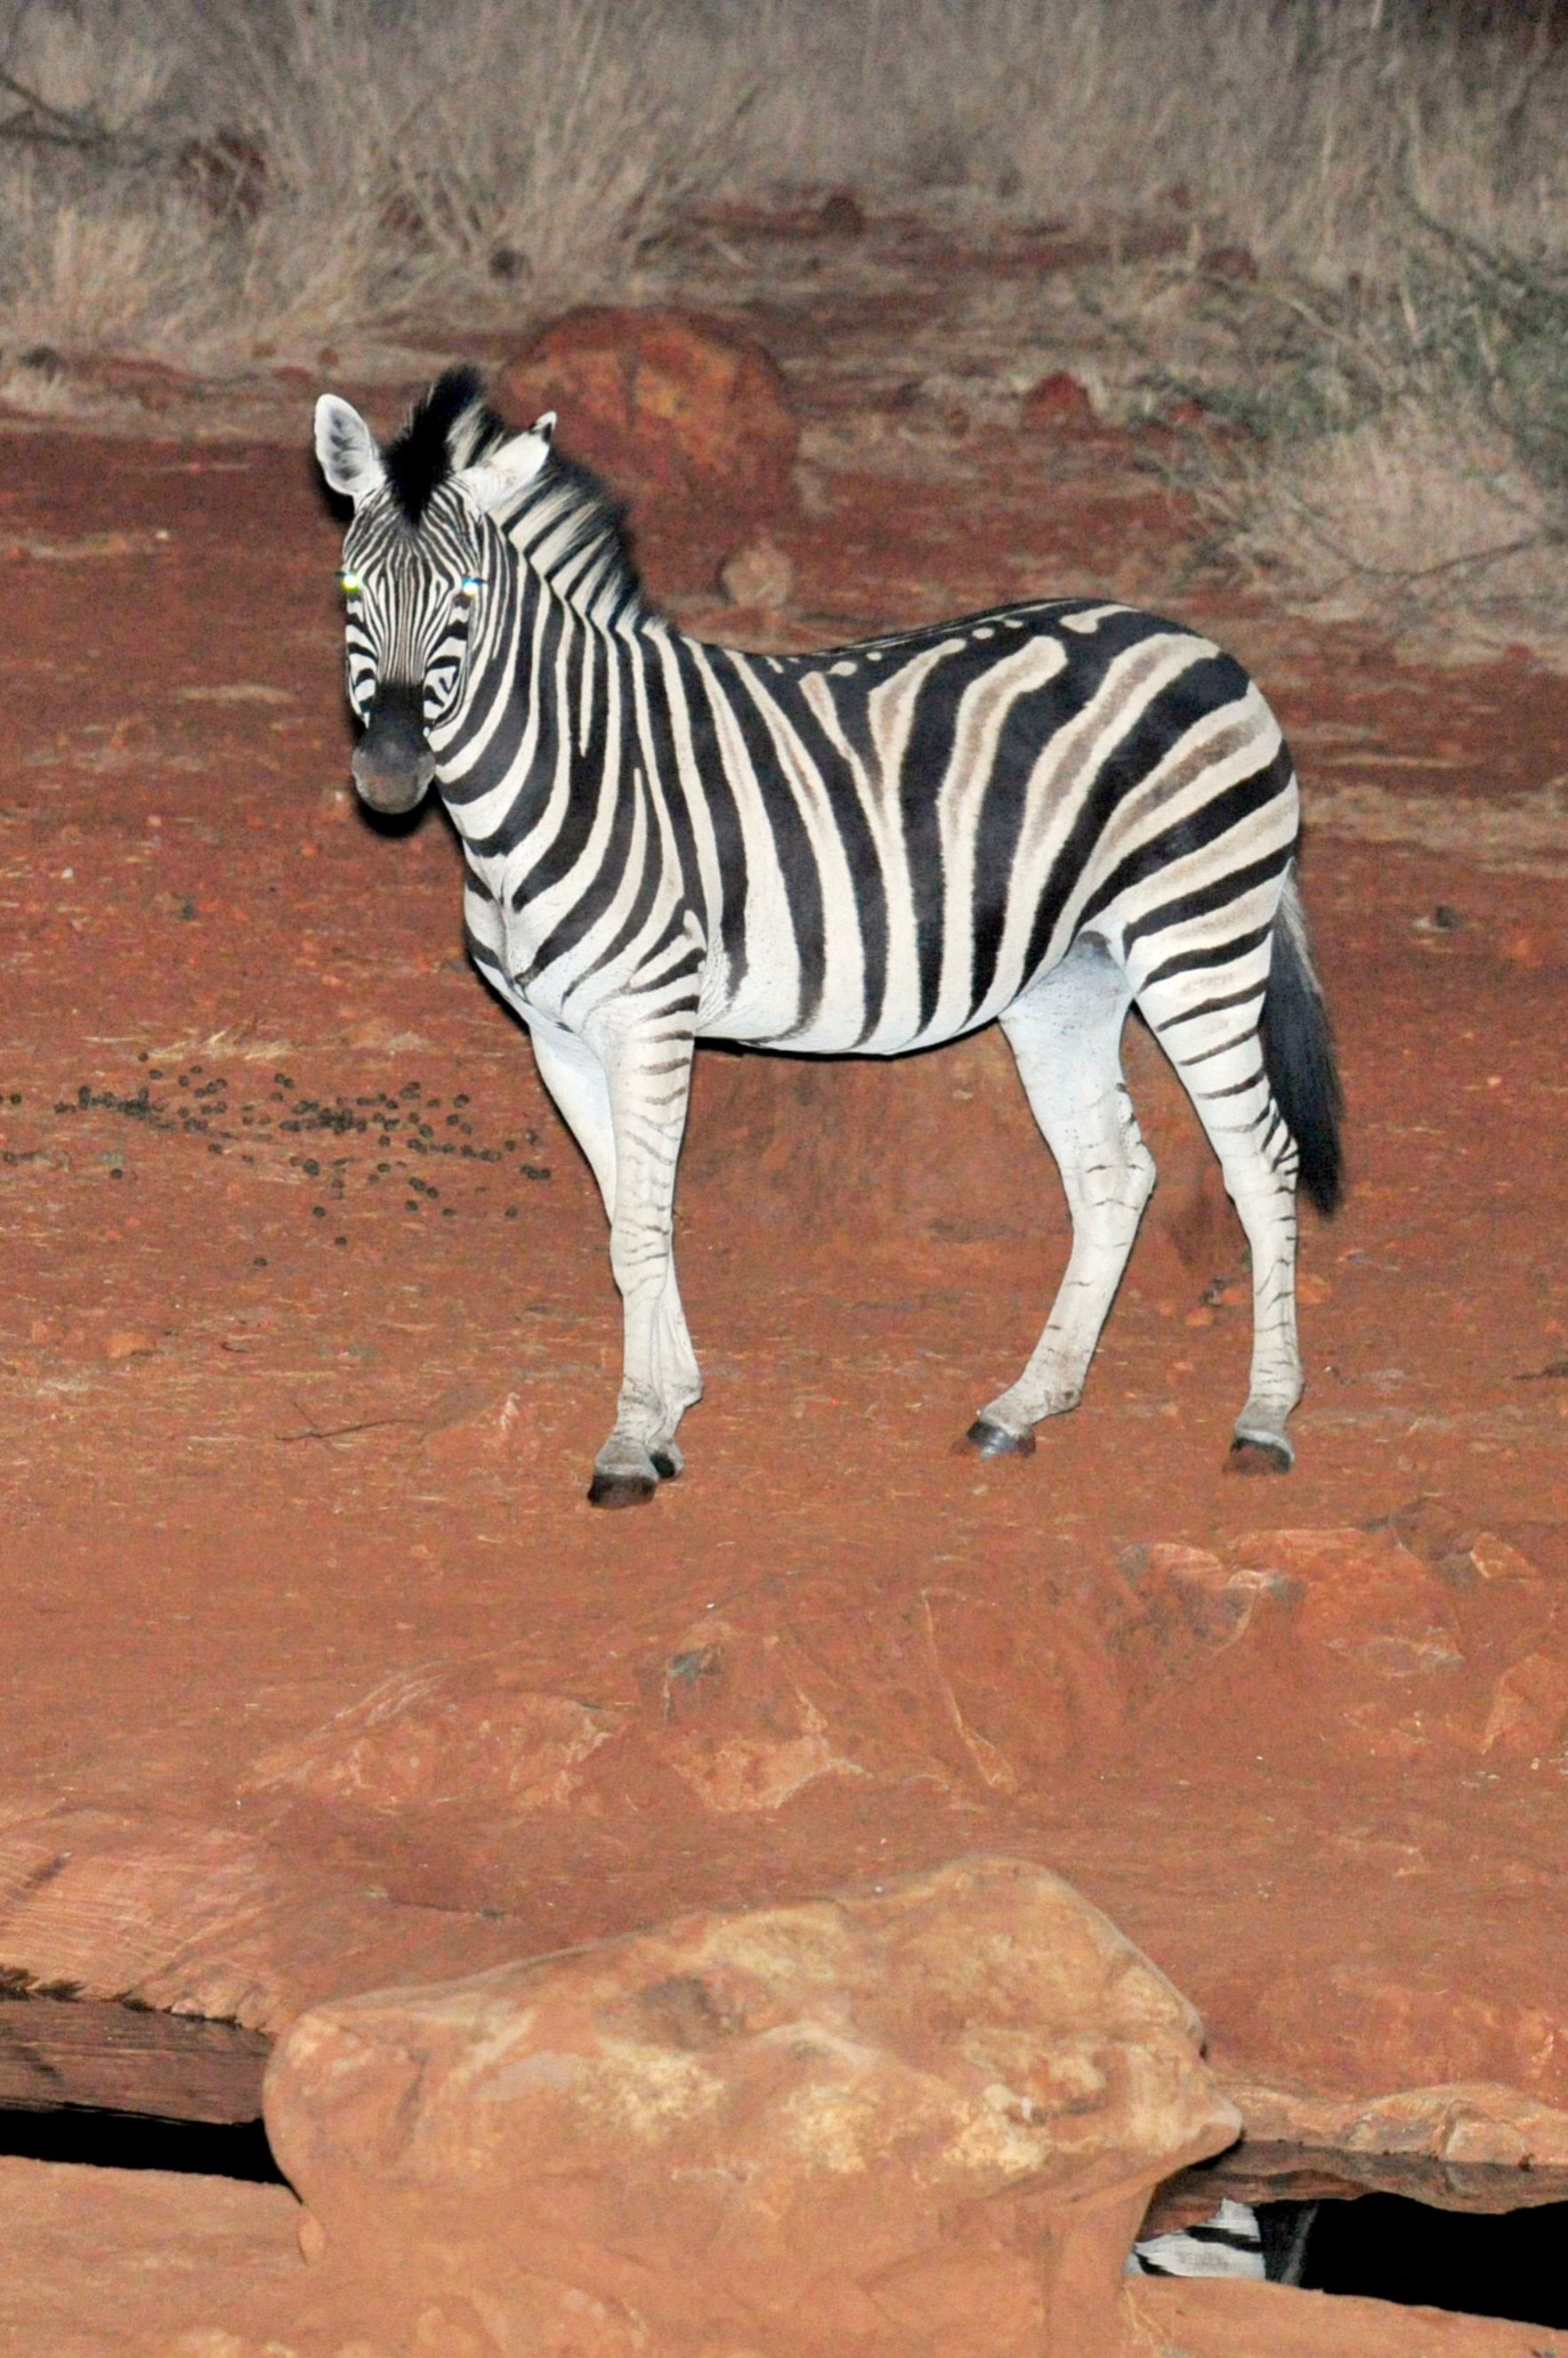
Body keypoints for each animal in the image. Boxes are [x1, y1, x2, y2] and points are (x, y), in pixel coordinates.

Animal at [313, 367, 1342, 1508]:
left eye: (465, 597)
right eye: (352, 593)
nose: (390, 777)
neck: (566, 768)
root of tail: (1199, 645)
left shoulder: (648, 1018)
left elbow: (643, 1228)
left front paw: (631, 1438)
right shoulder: (557, 1036)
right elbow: (628, 1221)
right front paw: (668, 1414)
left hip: (1198, 937)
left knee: (1260, 1159)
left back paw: (1264, 1420)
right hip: (1068, 981)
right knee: (1114, 1169)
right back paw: (1024, 1405)